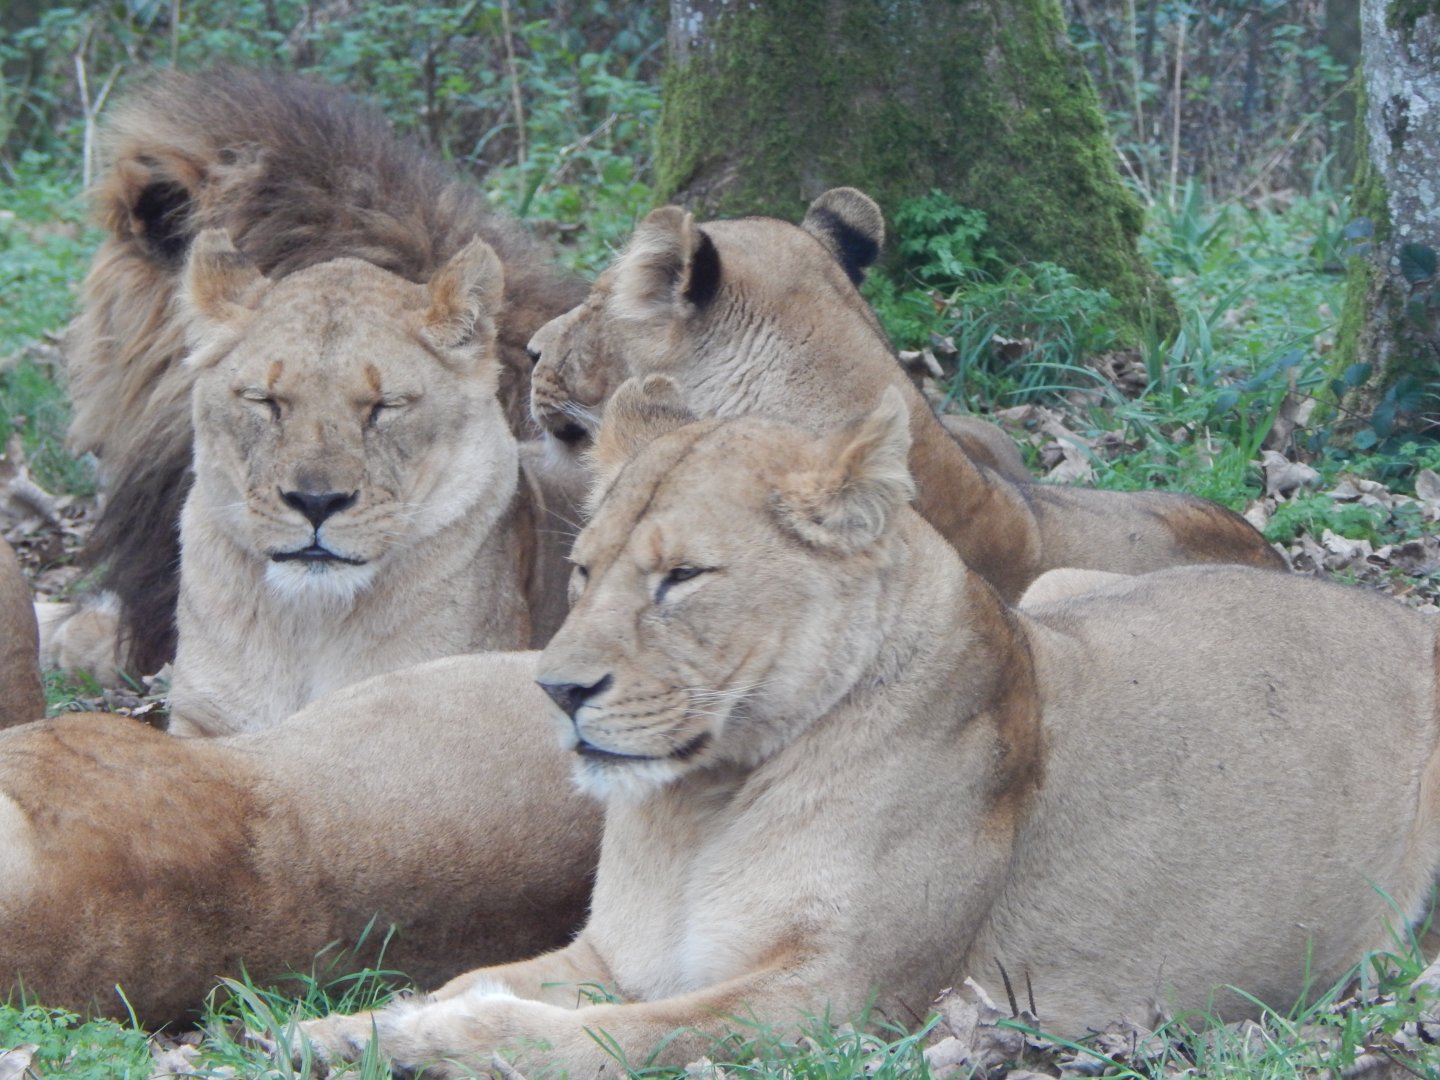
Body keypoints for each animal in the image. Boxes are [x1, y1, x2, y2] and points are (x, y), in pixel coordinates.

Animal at [294, 378, 1440, 1077]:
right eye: (583, 571)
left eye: (682, 577)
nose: (557, 691)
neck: (702, 805)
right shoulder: (615, 952)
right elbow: (483, 977)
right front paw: (349, 1026)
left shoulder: (839, 1001)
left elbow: (608, 1040)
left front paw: (434, 1040)